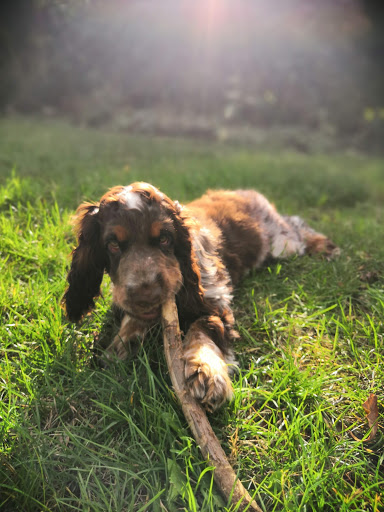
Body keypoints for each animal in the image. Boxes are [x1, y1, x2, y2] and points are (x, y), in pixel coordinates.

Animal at [63, 183, 340, 412]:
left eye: (165, 239)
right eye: (112, 245)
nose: (147, 294)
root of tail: (248, 192)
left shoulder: (215, 300)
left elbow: (203, 326)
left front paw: (207, 373)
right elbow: (132, 320)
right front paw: (121, 344)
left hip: (282, 245)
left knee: (296, 226)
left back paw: (325, 247)